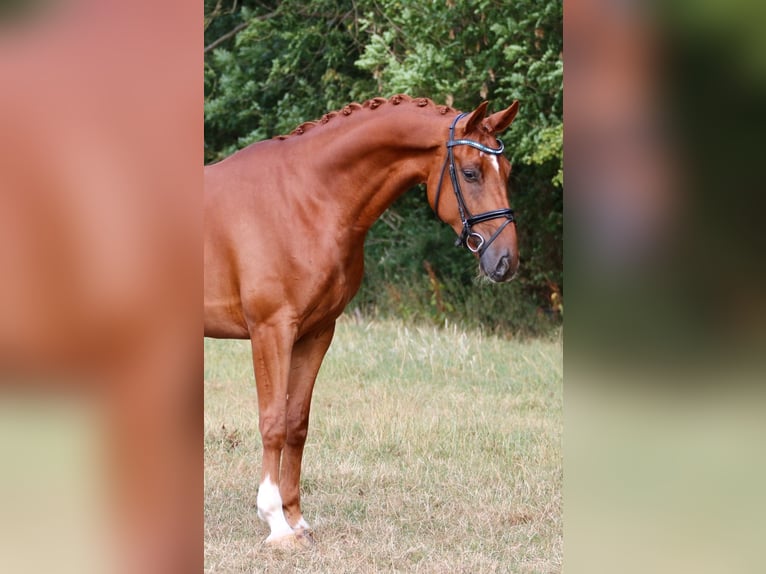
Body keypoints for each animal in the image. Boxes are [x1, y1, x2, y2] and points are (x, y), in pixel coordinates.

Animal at [204, 94, 520, 547]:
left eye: (507, 171)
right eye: (471, 173)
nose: (506, 261)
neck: (305, 199)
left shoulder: (317, 332)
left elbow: (297, 422)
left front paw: (296, 519)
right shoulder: (271, 330)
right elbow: (274, 422)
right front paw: (276, 524)